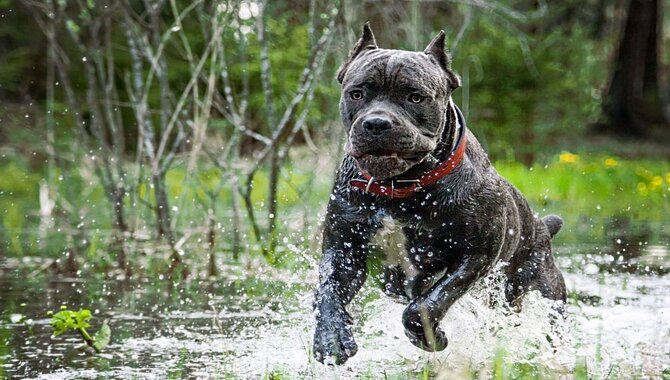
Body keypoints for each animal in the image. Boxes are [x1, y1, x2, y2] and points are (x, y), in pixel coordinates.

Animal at [314, 24, 568, 366]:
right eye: (356, 93)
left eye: (415, 97)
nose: (377, 122)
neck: (399, 189)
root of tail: (542, 228)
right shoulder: (344, 251)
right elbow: (328, 291)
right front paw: (330, 339)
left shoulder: (475, 255)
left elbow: (427, 303)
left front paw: (429, 336)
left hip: (543, 289)